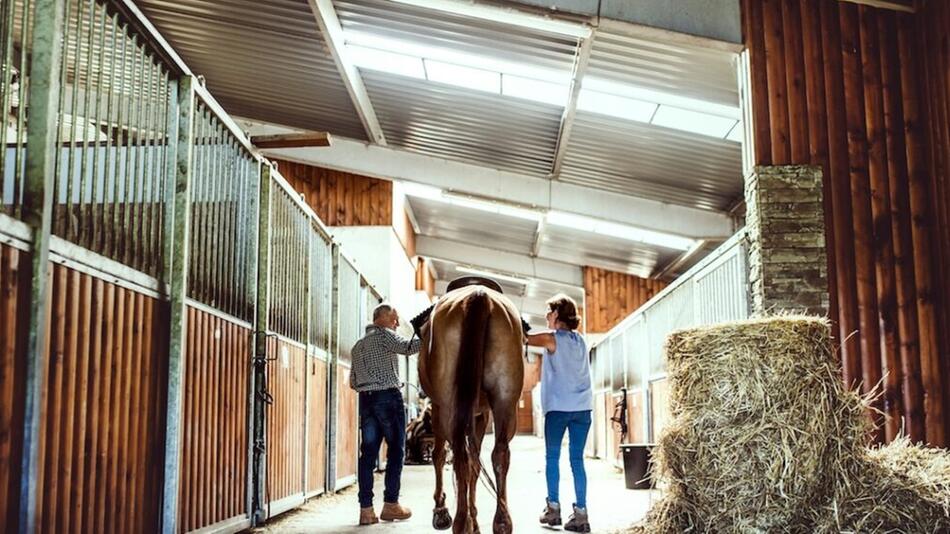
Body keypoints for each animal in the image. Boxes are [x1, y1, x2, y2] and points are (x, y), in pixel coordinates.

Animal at [418, 282, 528, 532]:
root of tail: (478, 295)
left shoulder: (441, 409)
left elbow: (441, 456)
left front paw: (442, 510)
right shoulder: (481, 414)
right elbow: (475, 463)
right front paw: (475, 520)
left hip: (448, 408)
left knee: (458, 456)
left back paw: (460, 522)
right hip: (505, 402)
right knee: (499, 455)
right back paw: (501, 523)